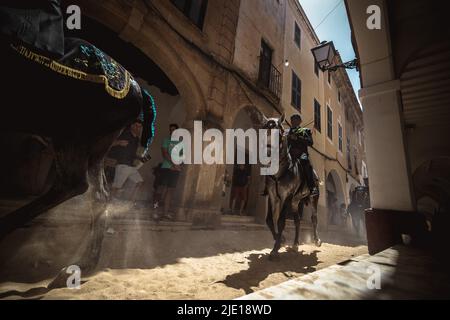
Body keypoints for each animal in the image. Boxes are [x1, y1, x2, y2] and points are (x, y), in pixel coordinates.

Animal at [0, 3, 156, 276]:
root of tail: (136, 86)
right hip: (94, 145)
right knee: (98, 194)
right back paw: (88, 261)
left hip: (71, 133)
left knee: (73, 184)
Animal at [260, 115, 320, 260]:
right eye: (264, 129)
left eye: (280, 132)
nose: (268, 153)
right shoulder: (272, 195)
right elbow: (269, 220)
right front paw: (280, 240)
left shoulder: (286, 196)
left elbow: (281, 221)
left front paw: (275, 249)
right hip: (295, 202)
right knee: (297, 221)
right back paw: (295, 244)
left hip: (313, 198)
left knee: (314, 218)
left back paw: (317, 240)